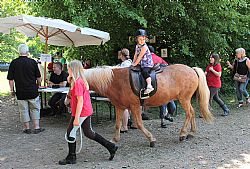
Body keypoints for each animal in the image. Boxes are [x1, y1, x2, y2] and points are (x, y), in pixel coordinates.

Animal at [84, 64, 213, 147]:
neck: (115, 81)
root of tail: (192, 69)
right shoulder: (119, 107)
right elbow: (117, 125)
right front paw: (114, 140)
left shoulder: (135, 106)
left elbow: (139, 124)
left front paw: (151, 139)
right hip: (186, 99)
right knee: (192, 112)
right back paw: (191, 132)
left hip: (184, 99)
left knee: (189, 113)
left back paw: (183, 134)